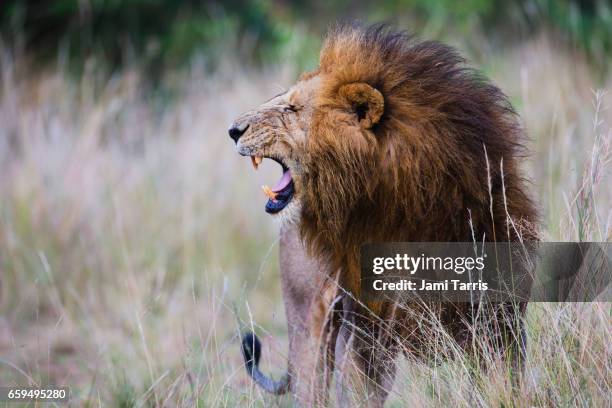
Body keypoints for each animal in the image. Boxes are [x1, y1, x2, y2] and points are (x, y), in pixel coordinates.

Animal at [228, 23, 536, 406]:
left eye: (292, 108)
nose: (232, 130)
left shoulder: (499, 323)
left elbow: (506, 383)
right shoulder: (364, 330)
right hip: (309, 324)